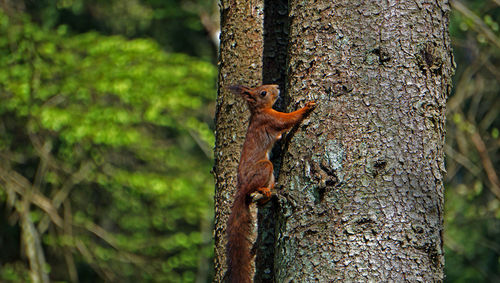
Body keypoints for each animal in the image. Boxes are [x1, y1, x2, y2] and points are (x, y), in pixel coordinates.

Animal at [225, 84, 314, 283]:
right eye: (263, 92)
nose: (277, 87)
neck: (259, 111)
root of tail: (241, 188)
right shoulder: (270, 119)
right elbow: (288, 119)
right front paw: (306, 107)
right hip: (265, 167)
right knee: (253, 187)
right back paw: (262, 191)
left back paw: (269, 193)